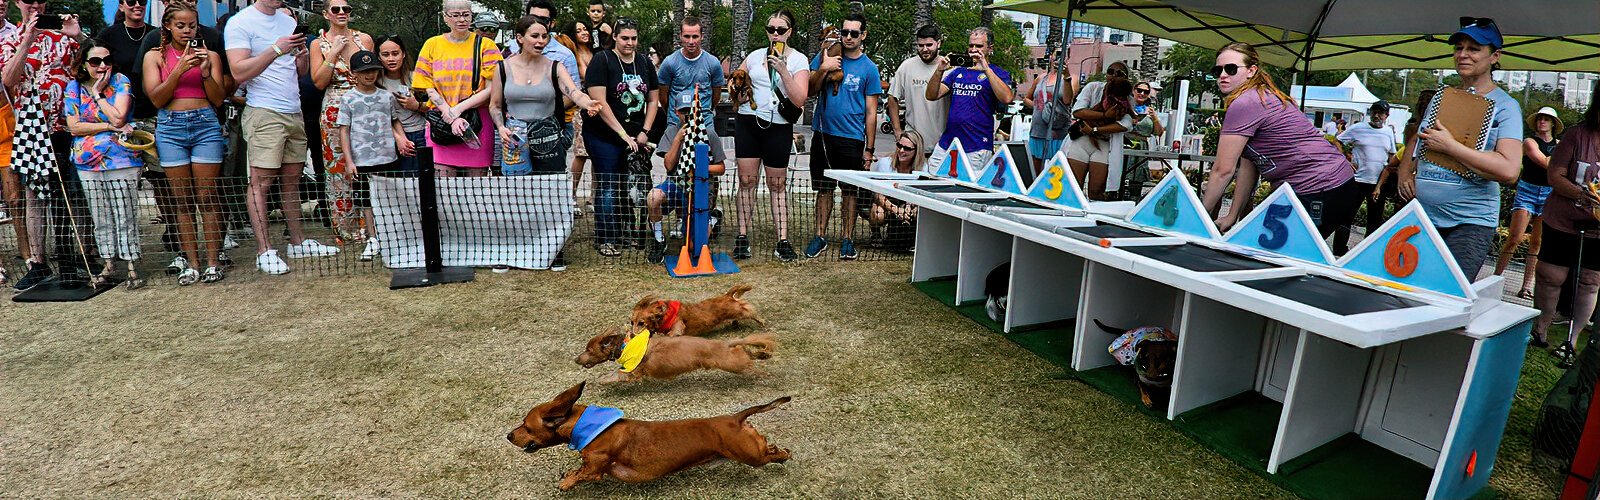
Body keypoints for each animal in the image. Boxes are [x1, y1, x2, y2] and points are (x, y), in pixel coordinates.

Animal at [505, 381, 793, 490]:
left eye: (526, 426)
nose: (508, 436)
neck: (586, 426)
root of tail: (734, 418)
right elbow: (578, 470)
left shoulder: (596, 467)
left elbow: (582, 473)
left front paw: (566, 483)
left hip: (751, 455)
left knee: (771, 453)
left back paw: (782, 454)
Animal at [630, 285, 768, 336]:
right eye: (632, 322)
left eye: (641, 323)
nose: (632, 335)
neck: (664, 314)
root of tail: (727, 295)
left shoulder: (678, 327)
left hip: (738, 310)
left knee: (750, 310)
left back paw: (762, 321)